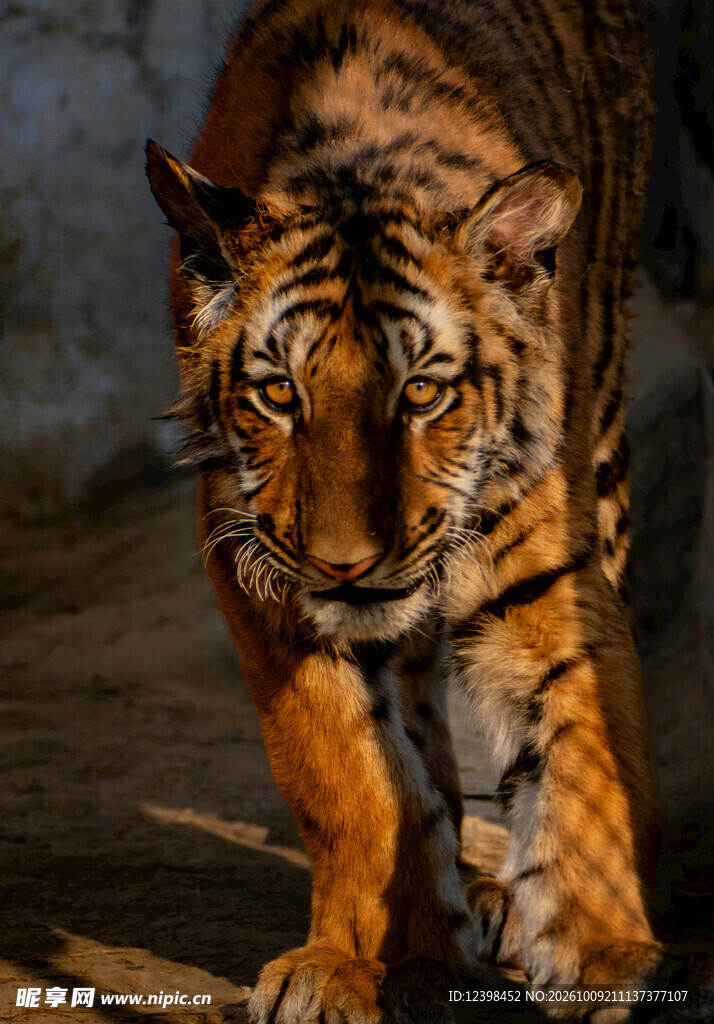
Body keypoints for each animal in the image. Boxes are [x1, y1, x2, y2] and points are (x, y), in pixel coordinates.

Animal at [145, 0, 661, 1020]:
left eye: (422, 392)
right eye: (279, 395)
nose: (347, 563)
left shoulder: (550, 574)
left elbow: (587, 751)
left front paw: (607, 960)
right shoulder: (257, 571)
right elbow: (354, 778)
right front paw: (367, 963)